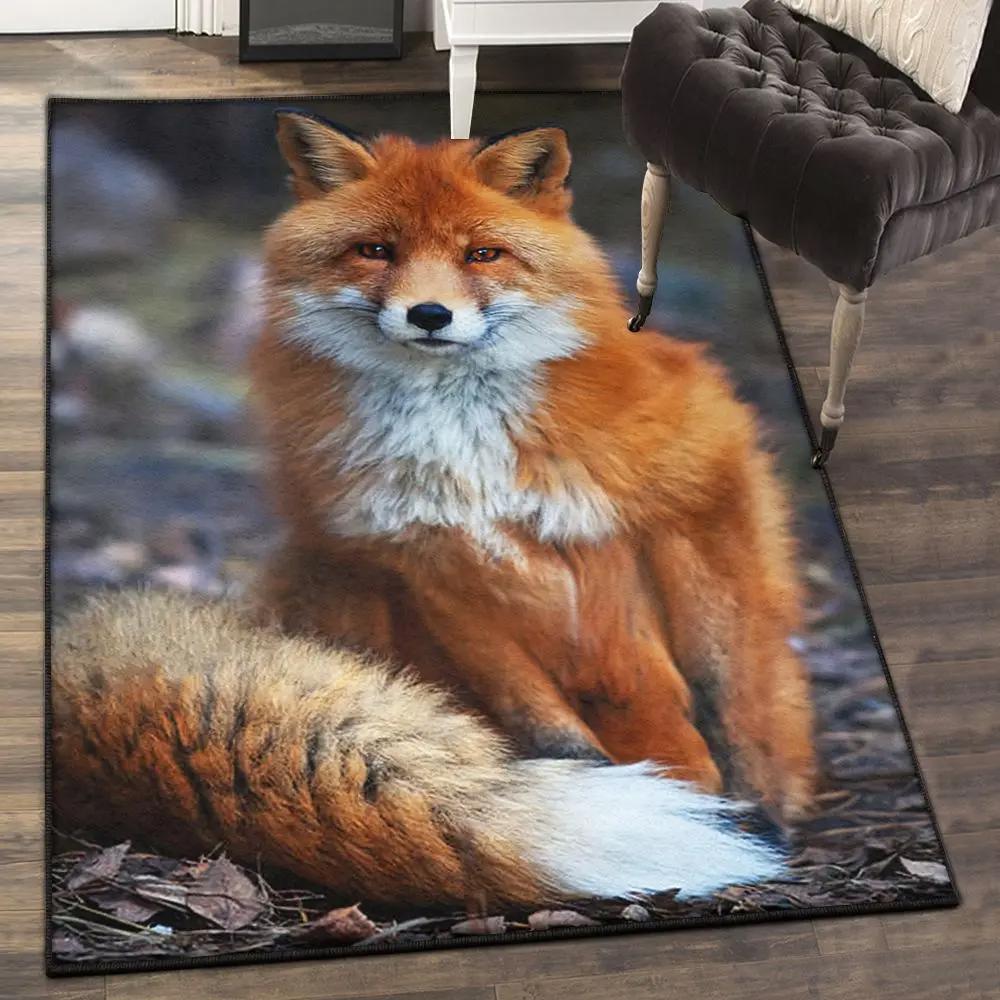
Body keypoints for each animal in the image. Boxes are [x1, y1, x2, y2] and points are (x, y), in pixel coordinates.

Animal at [51, 112, 817, 909]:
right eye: (376, 250)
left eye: (482, 254)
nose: (429, 315)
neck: (461, 443)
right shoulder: (424, 560)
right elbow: (536, 713)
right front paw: (598, 780)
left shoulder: (698, 481)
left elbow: (724, 680)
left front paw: (755, 800)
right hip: (331, 576)